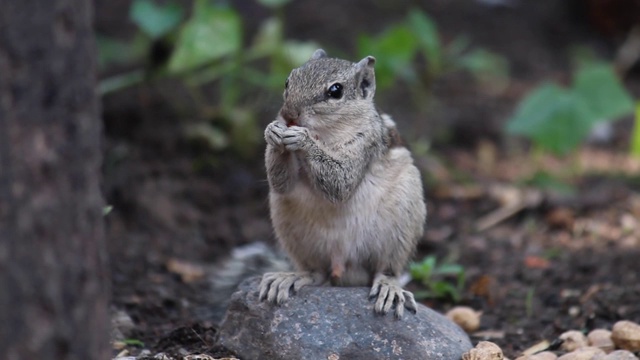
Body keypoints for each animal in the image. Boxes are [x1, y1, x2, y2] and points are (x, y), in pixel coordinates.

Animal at [258, 49, 428, 320]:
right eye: (288, 81)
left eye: (335, 91)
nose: (289, 115)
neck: (326, 133)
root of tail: (346, 271)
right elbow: (281, 182)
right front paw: (274, 132)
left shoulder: (365, 143)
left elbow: (341, 182)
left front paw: (303, 139)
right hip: (295, 233)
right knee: (316, 273)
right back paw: (291, 277)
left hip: (399, 227)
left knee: (386, 270)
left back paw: (388, 288)